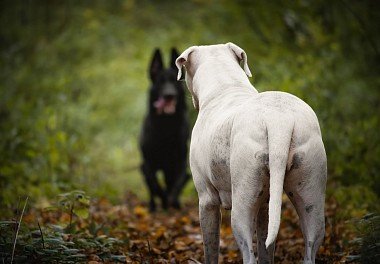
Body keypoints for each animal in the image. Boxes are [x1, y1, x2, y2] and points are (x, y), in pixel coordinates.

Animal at [139, 48, 189, 212]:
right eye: (160, 82)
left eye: (174, 82)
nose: (169, 95)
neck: (166, 126)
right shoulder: (148, 164)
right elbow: (155, 185)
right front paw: (164, 200)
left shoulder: (180, 162)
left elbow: (177, 184)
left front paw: (172, 201)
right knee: (151, 188)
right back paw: (153, 206)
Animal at [175, 42, 326, 262]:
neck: (226, 86)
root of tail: (278, 119)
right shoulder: (265, 206)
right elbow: (265, 247)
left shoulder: (207, 201)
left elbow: (210, 249)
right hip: (310, 199)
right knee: (310, 247)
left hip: (241, 209)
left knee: (248, 253)